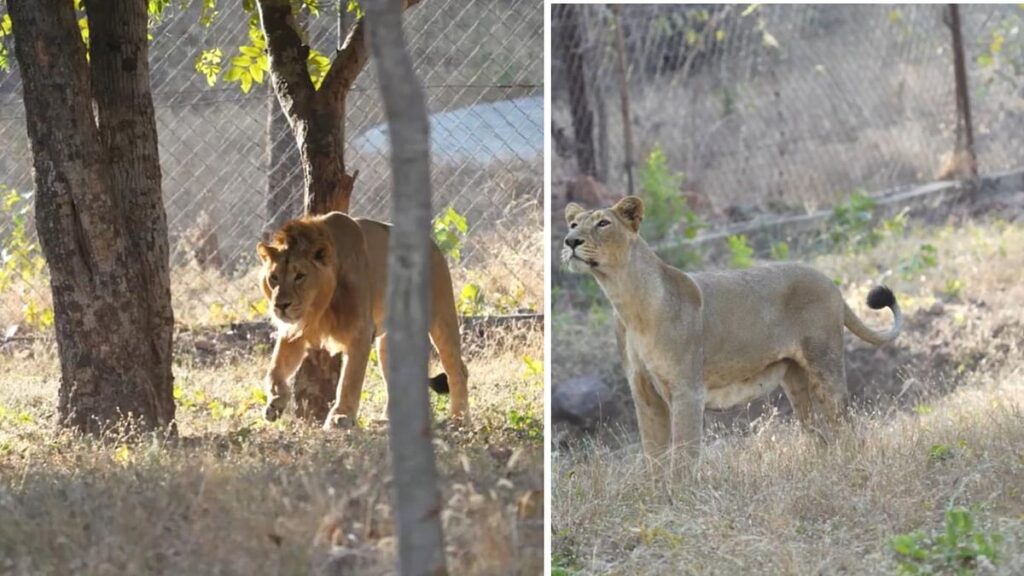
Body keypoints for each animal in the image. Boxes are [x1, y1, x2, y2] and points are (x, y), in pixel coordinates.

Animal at [256, 211, 468, 426]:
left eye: (300, 276)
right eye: (273, 277)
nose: (281, 305)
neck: (319, 307)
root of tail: (434, 245)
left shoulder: (360, 331)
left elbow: (350, 379)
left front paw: (341, 416)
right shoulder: (293, 332)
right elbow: (275, 369)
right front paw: (275, 403)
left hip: (442, 318)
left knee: (458, 370)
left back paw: (458, 418)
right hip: (389, 344)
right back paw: (390, 419)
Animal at [565, 194, 901, 463]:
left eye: (603, 223)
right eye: (573, 225)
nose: (570, 242)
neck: (626, 300)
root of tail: (831, 283)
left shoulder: (688, 391)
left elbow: (683, 458)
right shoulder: (644, 393)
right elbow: (654, 457)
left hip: (825, 367)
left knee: (846, 428)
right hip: (795, 380)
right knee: (818, 434)